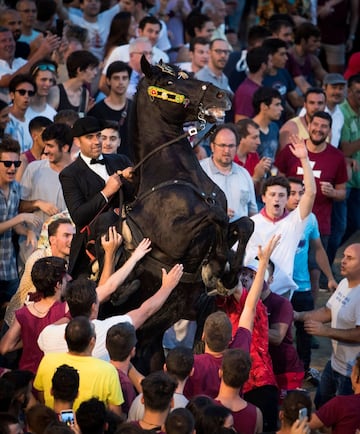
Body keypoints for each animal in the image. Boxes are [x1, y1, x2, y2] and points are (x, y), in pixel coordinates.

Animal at [115, 56, 253, 370]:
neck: (176, 176)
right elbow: (215, 218)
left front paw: (226, 273)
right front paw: (217, 269)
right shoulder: (174, 237)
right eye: (168, 82)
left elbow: (244, 224)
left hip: (152, 338)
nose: (221, 95)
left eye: (186, 75)